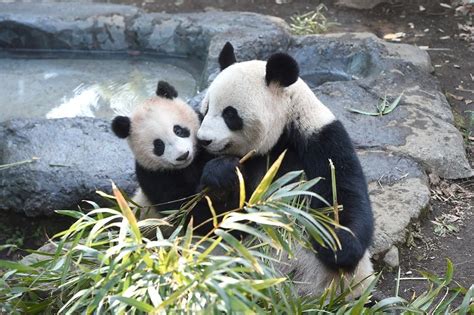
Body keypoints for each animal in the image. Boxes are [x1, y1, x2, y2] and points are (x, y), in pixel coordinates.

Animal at [196, 42, 374, 298]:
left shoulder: (321, 139)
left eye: (230, 114)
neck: (279, 137)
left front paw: (336, 245)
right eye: (207, 108)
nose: (203, 140)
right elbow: (215, 219)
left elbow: (343, 193)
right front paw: (221, 174)